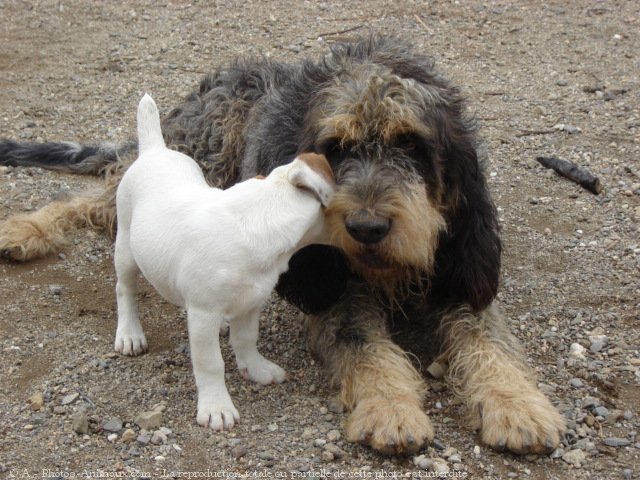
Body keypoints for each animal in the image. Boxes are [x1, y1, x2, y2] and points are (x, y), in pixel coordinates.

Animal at [115, 94, 336, 432]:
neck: (257, 218)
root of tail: (155, 150)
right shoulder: (204, 313)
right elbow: (210, 363)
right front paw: (216, 406)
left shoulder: (250, 303)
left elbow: (246, 339)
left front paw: (256, 369)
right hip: (126, 248)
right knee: (124, 289)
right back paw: (129, 333)